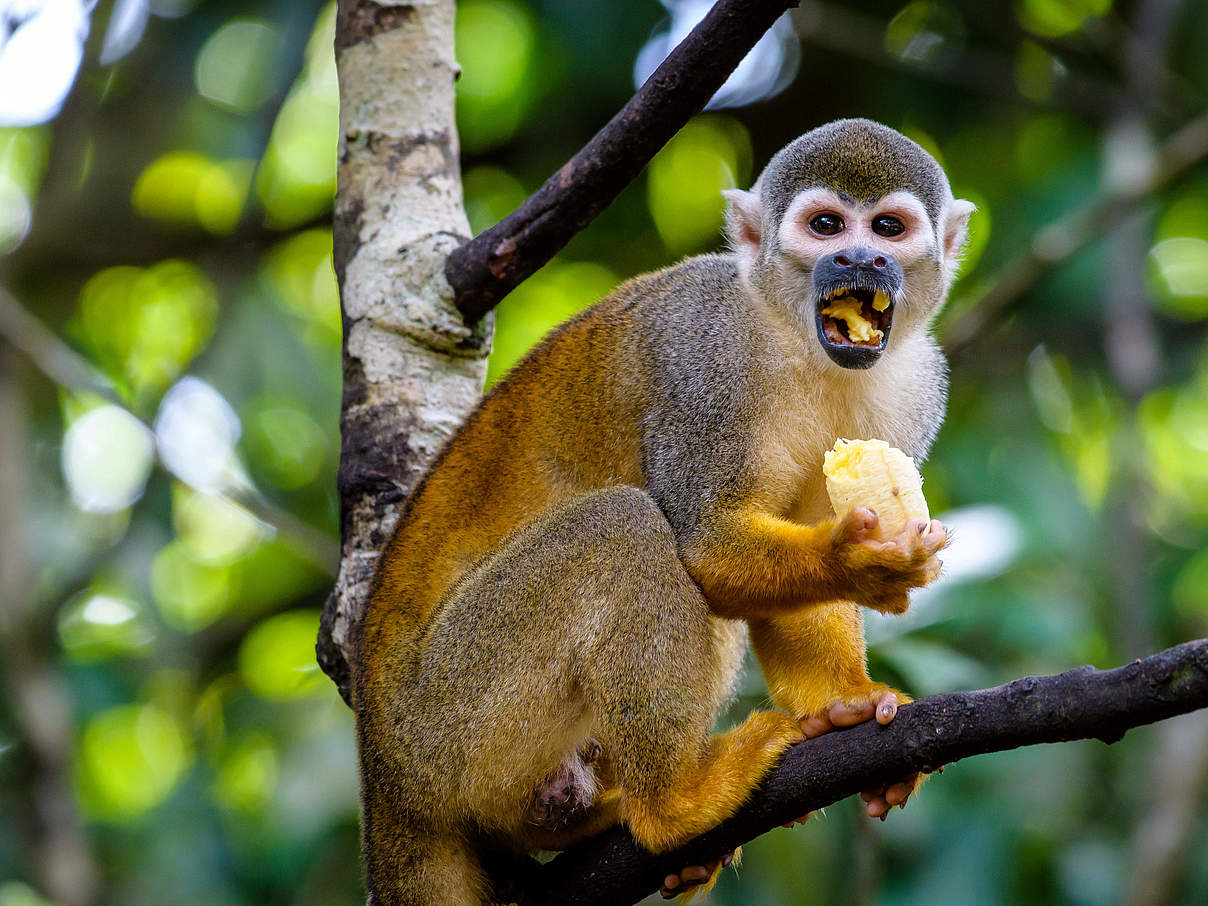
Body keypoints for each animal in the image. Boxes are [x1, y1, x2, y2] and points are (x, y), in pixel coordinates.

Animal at [352, 120, 976, 906]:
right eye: (827, 226)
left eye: (888, 229)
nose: (860, 257)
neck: (798, 342)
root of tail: (381, 770)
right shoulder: (704, 363)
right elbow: (707, 547)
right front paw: (855, 562)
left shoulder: (917, 388)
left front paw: (848, 706)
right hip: (448, 716)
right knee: (623, 526)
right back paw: (674, 807)